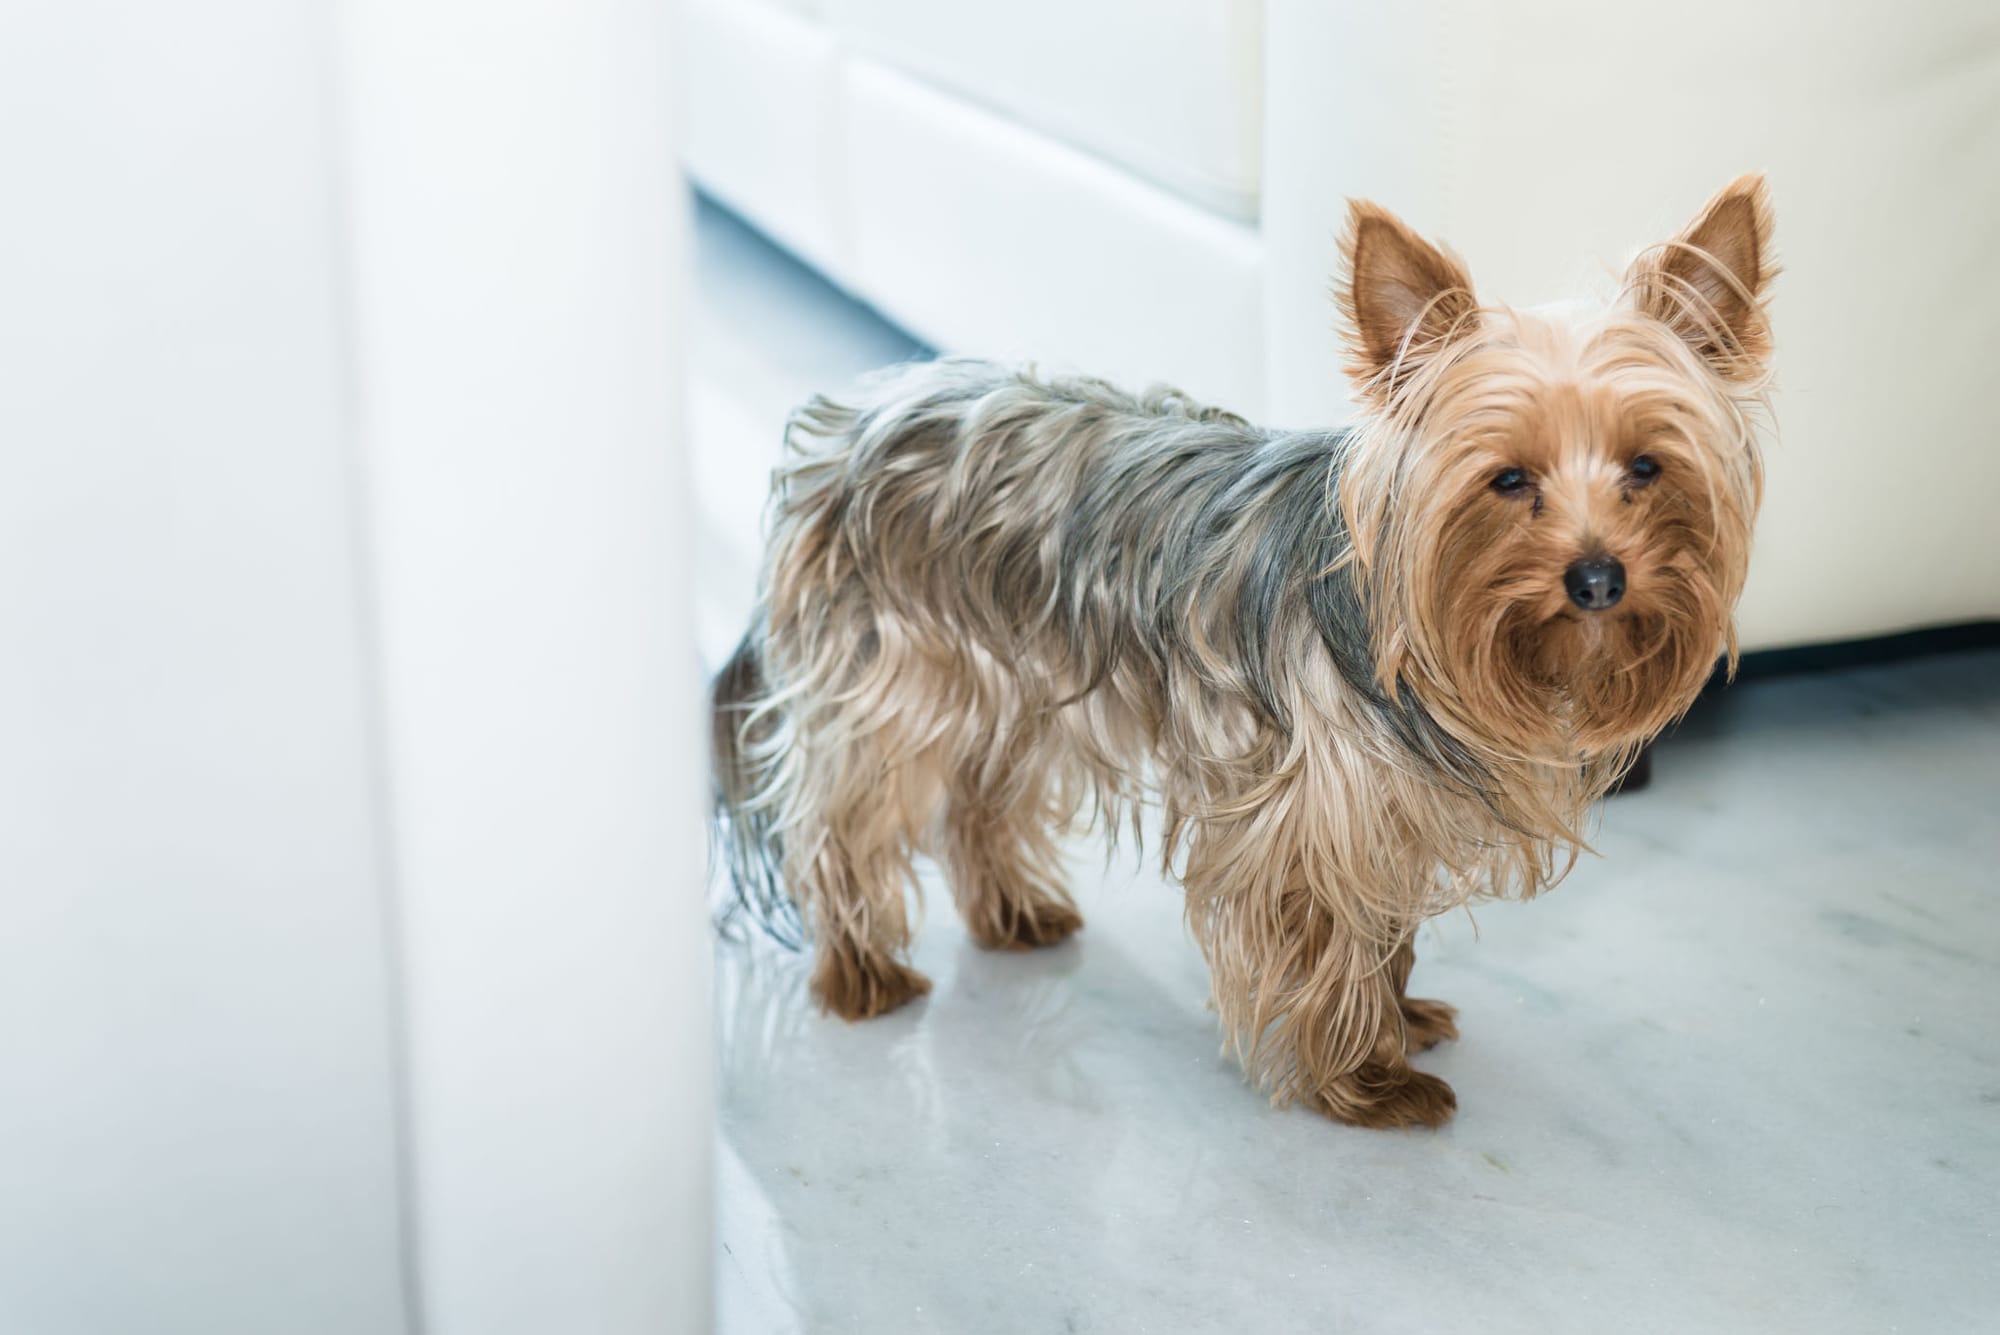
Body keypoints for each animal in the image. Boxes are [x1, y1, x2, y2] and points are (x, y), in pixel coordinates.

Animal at [712, 171, 1776, 1119]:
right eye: (1509, 480)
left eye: (1648, 466)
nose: (1598, 580)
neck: (1399, 614)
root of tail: (846, 423)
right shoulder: (1309, 810)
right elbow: (1330, 941)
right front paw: (1366, 1080)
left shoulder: (1382, 808)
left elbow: (1385, 930)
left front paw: (1400, 1020)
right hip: (892, 674)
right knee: (840, 817)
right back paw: (862, 971)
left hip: (1003, 675)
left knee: (980, 795)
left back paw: (1014, 916)